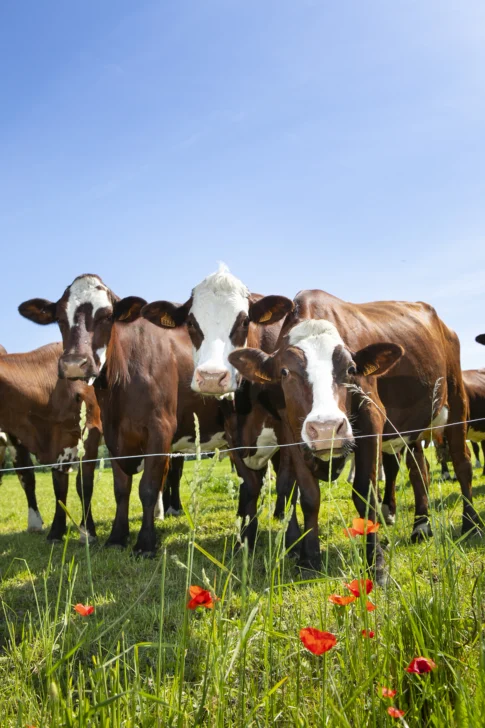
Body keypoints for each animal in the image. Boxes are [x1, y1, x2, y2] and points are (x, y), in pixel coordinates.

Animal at [0, 343, 102, 541]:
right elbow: (57, 486)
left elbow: (84, 484)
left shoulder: (90, 434)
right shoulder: (55, 441)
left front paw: (87, 531)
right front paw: (55, 531)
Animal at [18, 275, 249, 555]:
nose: (75, 364)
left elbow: (148, 488)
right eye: (60, 318)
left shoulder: (160, 429)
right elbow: (121, 489)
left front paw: (145, 543)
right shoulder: (114, 435)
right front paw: (117, 536)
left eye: (107, 316)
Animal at [227, 290, 480, 584]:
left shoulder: (372, 418)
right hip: (414, 427)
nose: (327, 428)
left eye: (350, 369)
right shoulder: (291, 432)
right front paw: (309, 559)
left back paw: (471, 524)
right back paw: (421, 526)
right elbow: (308, 497)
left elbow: (365, 494)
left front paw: (377, 564)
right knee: (420, 470)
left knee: (462, 463)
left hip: (457, 400)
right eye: (284, 372)